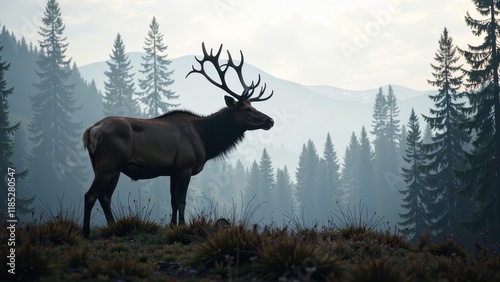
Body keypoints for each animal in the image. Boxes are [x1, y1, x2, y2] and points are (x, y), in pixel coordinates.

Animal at [83, 43, 276, 237]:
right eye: (246, 109)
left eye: (253, 106)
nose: (270, 121)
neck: (205, 139)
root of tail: (92, 130)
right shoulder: (185, 166)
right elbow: (182, 201)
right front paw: (183, 226)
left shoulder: (172, 170)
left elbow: (173, 201)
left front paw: (173, 225)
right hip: (110, 164)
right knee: (90, 195)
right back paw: (86, 232)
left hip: (106, 166)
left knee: (104, 196)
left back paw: (112, 227)